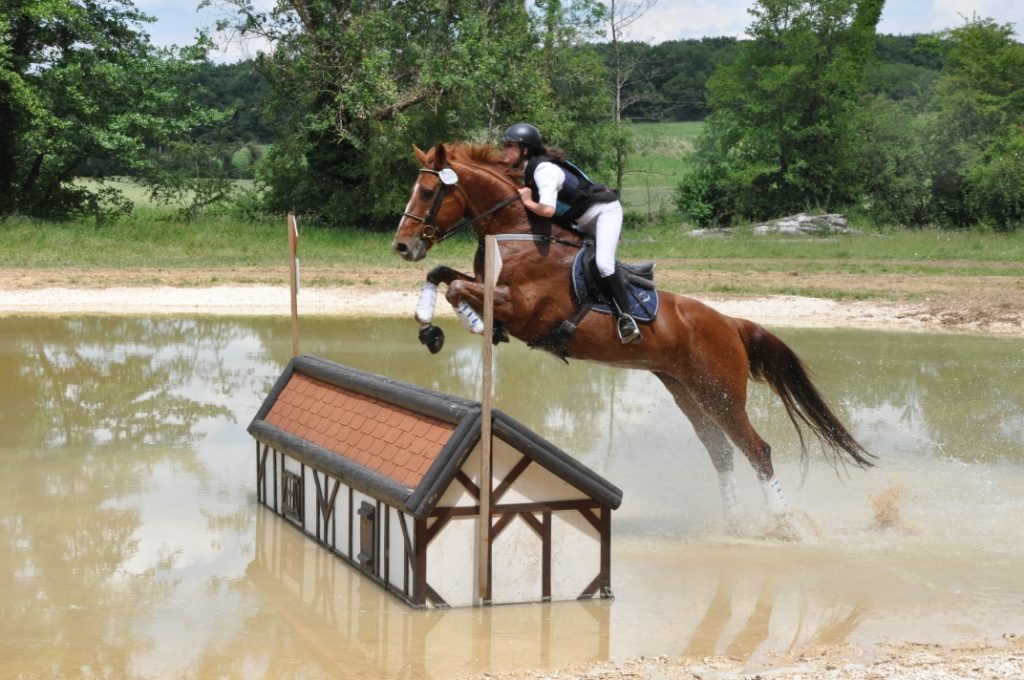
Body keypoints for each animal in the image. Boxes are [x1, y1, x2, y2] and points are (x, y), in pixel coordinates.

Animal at [391, 140, 872, 528]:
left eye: (429, 192)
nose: (402, 246)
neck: (515, 231)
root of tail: (730, 324)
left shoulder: (525, 309)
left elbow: (457, 288)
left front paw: (474, 326)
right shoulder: (490, 288)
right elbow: (442, 275)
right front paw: (429, 326)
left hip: (722, 392)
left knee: (757, 450)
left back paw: (782, 526)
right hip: (689, 392)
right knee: (721, 452)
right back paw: (735, 525)